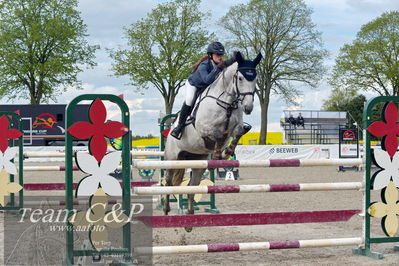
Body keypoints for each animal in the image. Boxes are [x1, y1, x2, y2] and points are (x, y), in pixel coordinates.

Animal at [163, 51, 262, 229]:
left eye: (255, 78)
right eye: (240, 78)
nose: (248, 107)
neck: (227, 102)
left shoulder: (236, 127)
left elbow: (238, 132)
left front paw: (227, 152)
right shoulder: (204, 128)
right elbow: (217, 135)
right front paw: (218, 154)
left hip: (197, 161)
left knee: (191, 187)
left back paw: (189, 221)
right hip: (172, 158)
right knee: (168, 182)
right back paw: (166, 210)